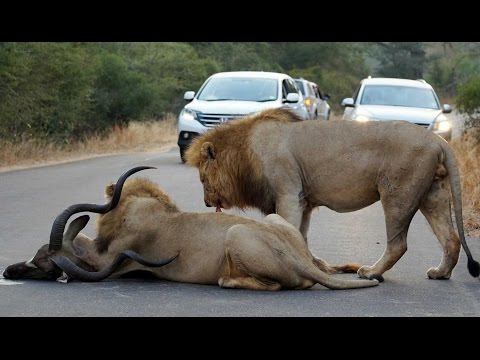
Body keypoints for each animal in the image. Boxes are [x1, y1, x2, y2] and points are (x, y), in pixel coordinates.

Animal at [3, 167, 378, 292]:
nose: (9, 271)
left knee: (276, 286)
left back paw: (227, 281)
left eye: (44, 265)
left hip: (235, 234)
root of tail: (297, 259)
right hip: (272, 220)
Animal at [185, 107, 480, 282]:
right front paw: (313, 264)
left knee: (398, 243)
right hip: (432, 195)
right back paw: (440, 273)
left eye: (202, 178)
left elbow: (287, 228)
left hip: (397, 194)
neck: (245, 153)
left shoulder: (288, 193)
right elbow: (300, 235)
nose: (206, 202)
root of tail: (437, 140)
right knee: (451, 238)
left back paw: (371, 272)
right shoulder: (303, 200)